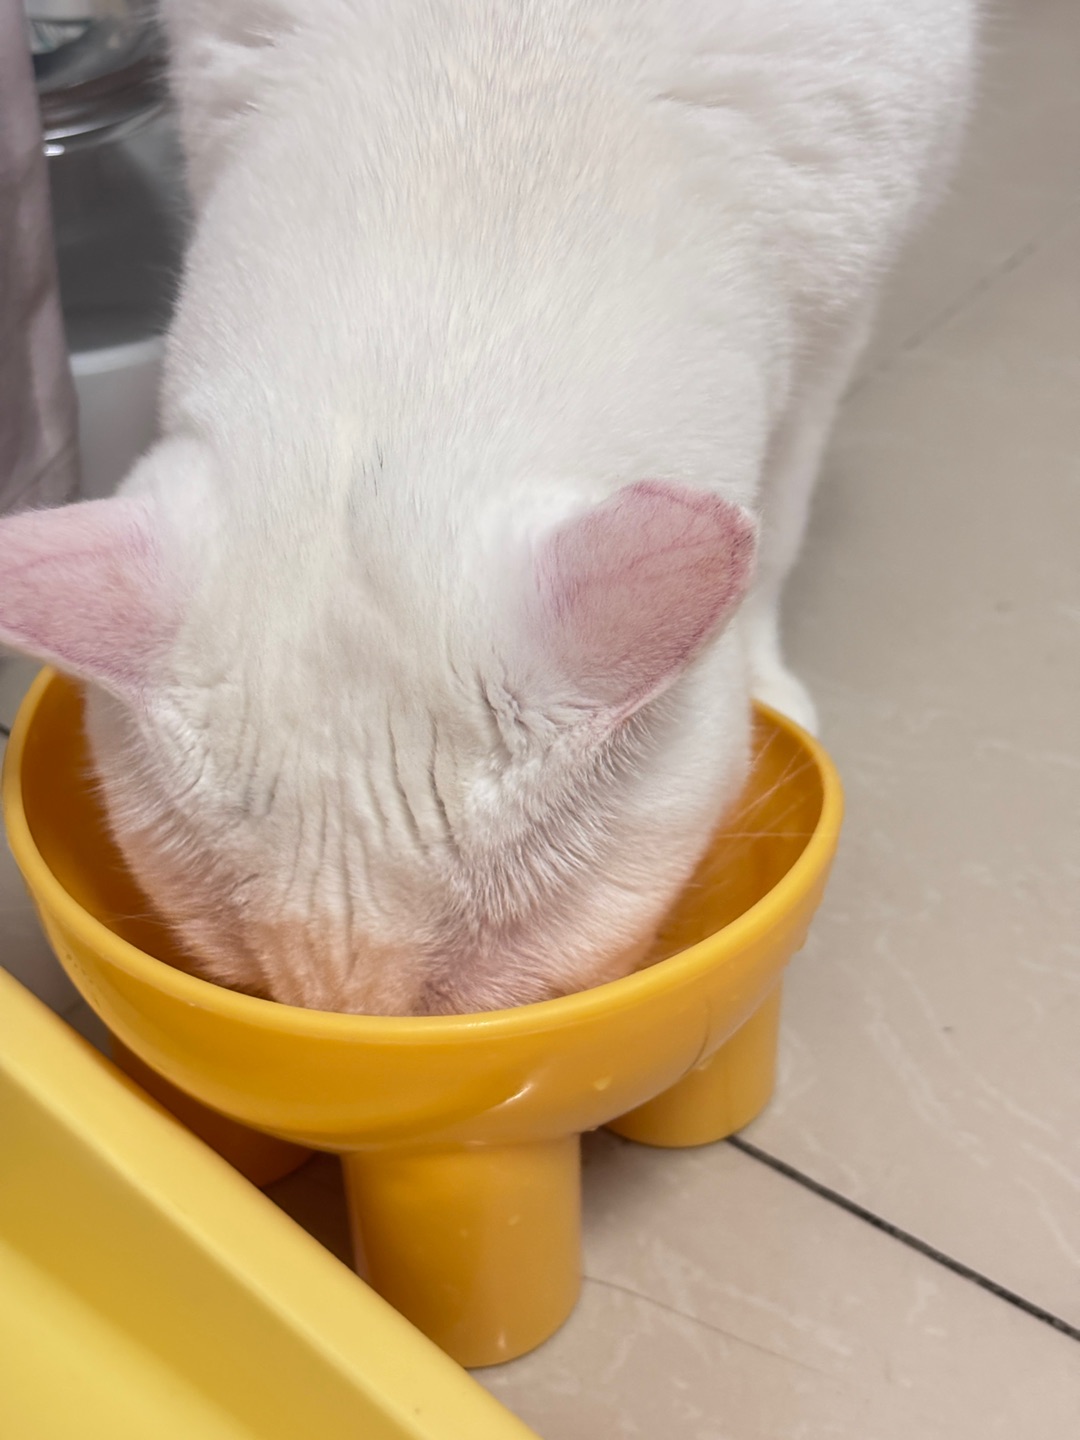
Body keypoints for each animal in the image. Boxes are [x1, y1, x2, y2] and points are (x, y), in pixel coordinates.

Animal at [0, 1, 976, 1014]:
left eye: (469, 996)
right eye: (248, 981)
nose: (360, 1033)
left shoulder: (837, 323)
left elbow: (779, 523)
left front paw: (763, 677)